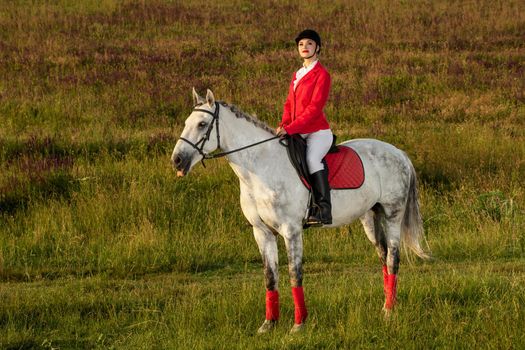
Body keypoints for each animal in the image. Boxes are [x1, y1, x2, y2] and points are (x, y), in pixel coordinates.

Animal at [172, 88, 430, 334]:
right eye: (186, 122)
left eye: (202, 124)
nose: (177, 160)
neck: (260, 169)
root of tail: (399, 152)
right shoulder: (262, 232)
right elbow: (270, 277)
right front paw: (268, 324)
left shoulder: (291, 230)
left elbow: (294, 274)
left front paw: (298, 325)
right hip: (370, 217)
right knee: (383, 256)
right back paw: (386, 306)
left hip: (393, 214)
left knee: (393, 258)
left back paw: (389, 312)